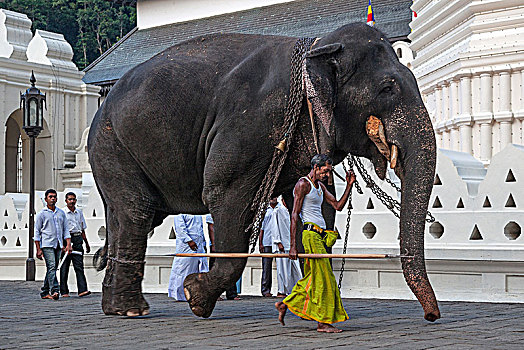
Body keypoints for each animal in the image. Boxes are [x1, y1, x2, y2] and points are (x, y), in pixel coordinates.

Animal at [88, 23, 440, 322]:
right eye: (387, 88)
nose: (431, 316)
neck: (317, 44)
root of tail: (101, 106)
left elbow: (310, 209)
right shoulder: (249, 125)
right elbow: (224, 194)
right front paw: (194, 296)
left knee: (128, 217)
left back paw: (117, 306)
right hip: (112, 145)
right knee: (137, 212)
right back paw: (132, 310)